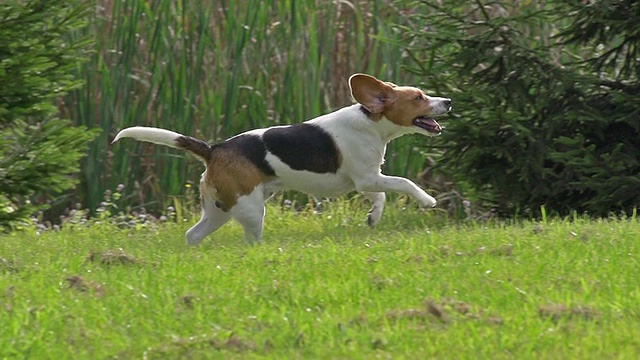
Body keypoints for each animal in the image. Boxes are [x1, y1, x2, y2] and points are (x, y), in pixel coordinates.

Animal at [116, 75, 456, 246]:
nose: (449, 101)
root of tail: (214, 149)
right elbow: (403, 183)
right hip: (251, 210)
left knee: (193, 234)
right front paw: (427, 200)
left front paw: (373, 218)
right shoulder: (367, 177)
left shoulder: (366, 180)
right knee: (250, 239)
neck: (370, 121)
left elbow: (381, 196)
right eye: (418, 98)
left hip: (219, 209)